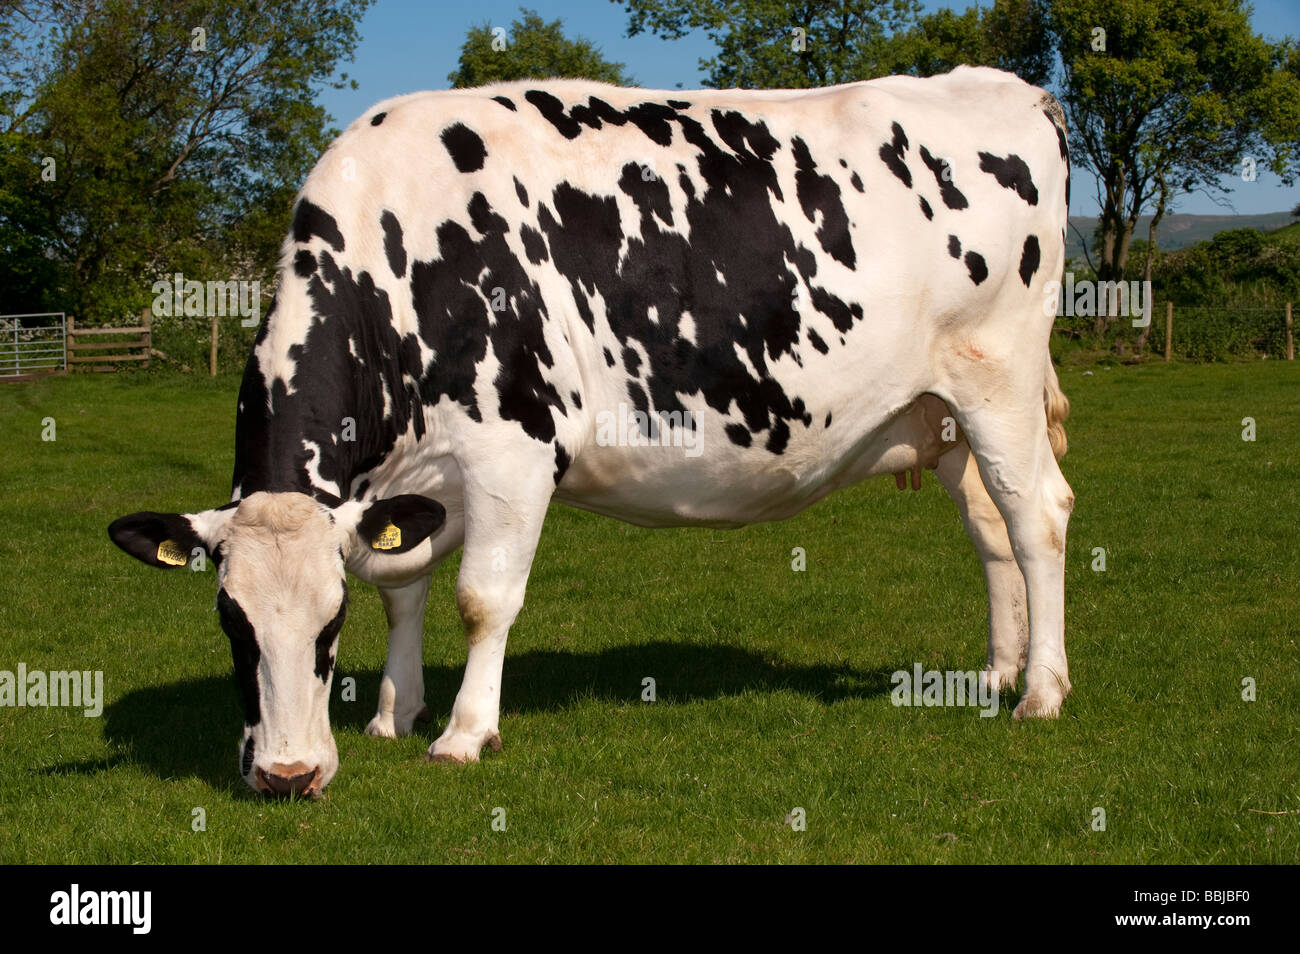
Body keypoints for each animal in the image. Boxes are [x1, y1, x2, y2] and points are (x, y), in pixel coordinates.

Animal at [108, 66, 1073, 798]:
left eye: (326, 624)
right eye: (231, 622)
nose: (287, 774)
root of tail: (1005, 86)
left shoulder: (512, 448)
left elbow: (481, 597)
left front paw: (464, 733)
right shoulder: (418, 479)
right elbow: (406, 584)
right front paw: (393, 712)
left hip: (999, 378)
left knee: (1038, 517)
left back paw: (1042, 692)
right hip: (942, 415)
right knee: (990, 526)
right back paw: (997, 671)